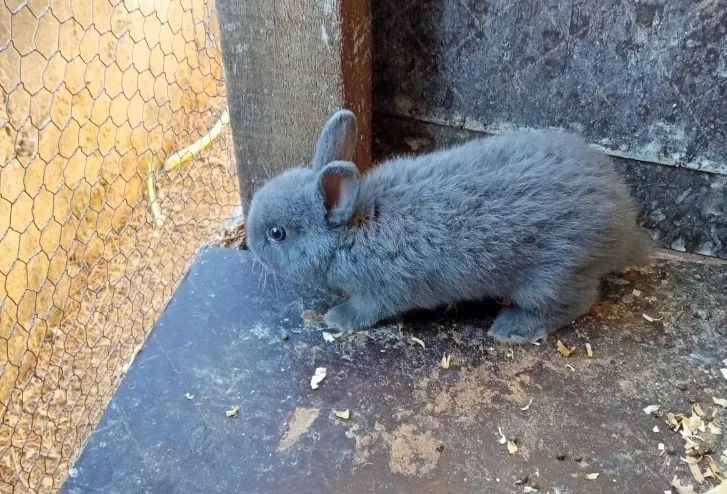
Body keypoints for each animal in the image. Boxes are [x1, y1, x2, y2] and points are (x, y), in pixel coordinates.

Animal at [245, 110, 650, 343]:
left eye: (277, 234)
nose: (249, 242)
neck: (354, 229)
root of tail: (624, 225)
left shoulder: (380, 290)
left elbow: (366, 310)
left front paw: (336, 319)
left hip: (552, 277)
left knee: (574, 304)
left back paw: (511, 329)